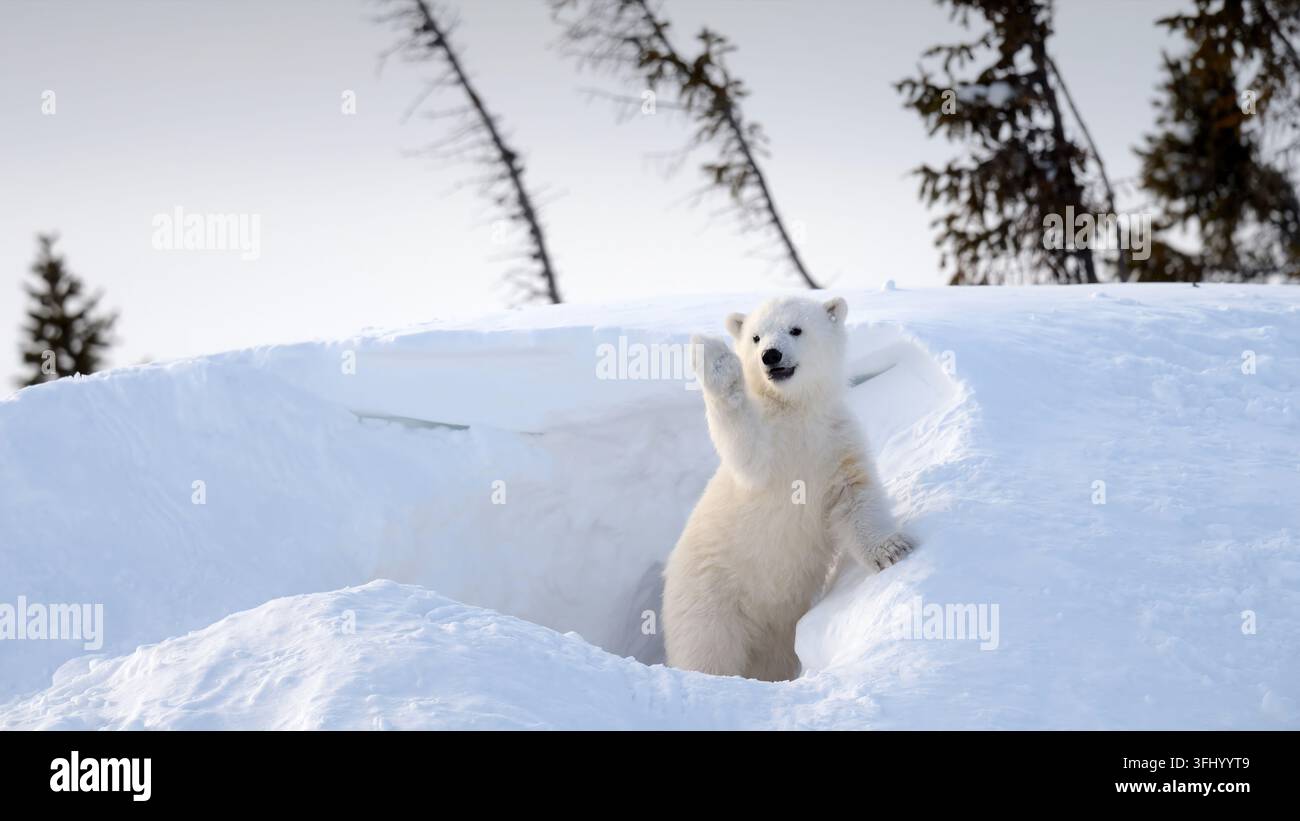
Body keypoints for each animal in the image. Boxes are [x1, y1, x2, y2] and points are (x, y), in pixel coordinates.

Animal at [662, 295, 913, 682]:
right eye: (755, 337)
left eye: (796, 329)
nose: (771, 355)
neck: (795, 411)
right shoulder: (768, 452)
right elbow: (745, 448)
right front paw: (714, 358)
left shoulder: (835, 441)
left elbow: (854, 496)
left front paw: (892, 550)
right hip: (710, 597)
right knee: (707, 650)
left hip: (775, 631)